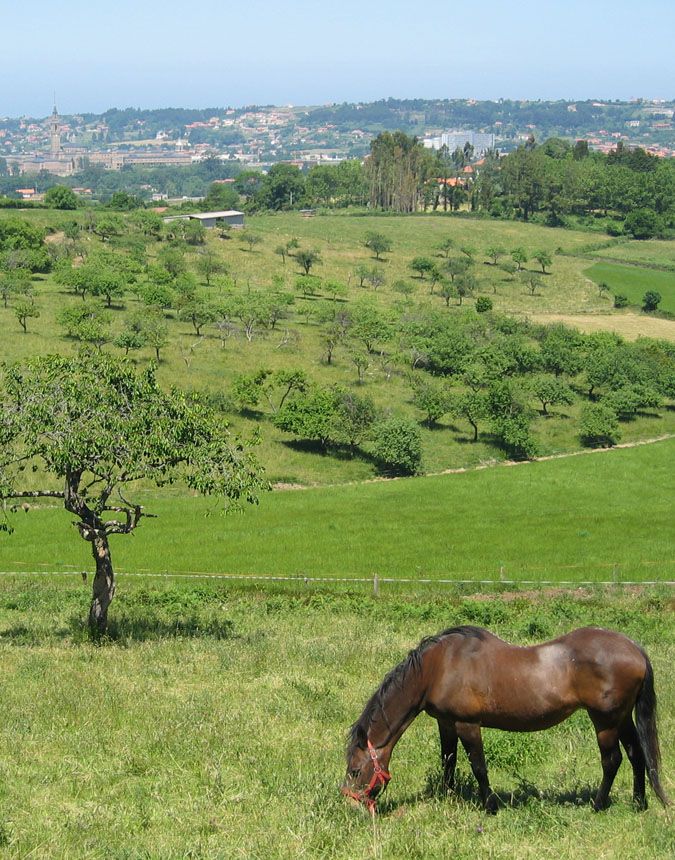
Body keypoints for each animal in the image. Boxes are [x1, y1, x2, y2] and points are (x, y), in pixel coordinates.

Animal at [344, 624, 672, 812]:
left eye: (355, 771)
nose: (351, 805)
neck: (438, 668)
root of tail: (635, 649)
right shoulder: (446, 723)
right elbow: (448, 762)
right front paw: (448, 798)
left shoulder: (467, 724)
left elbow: (478, 766)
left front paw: (489, 806)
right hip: (622, 718)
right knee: (637, 755)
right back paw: (639, 804)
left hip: (605, 720)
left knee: (612, 760)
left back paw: (599, 805)